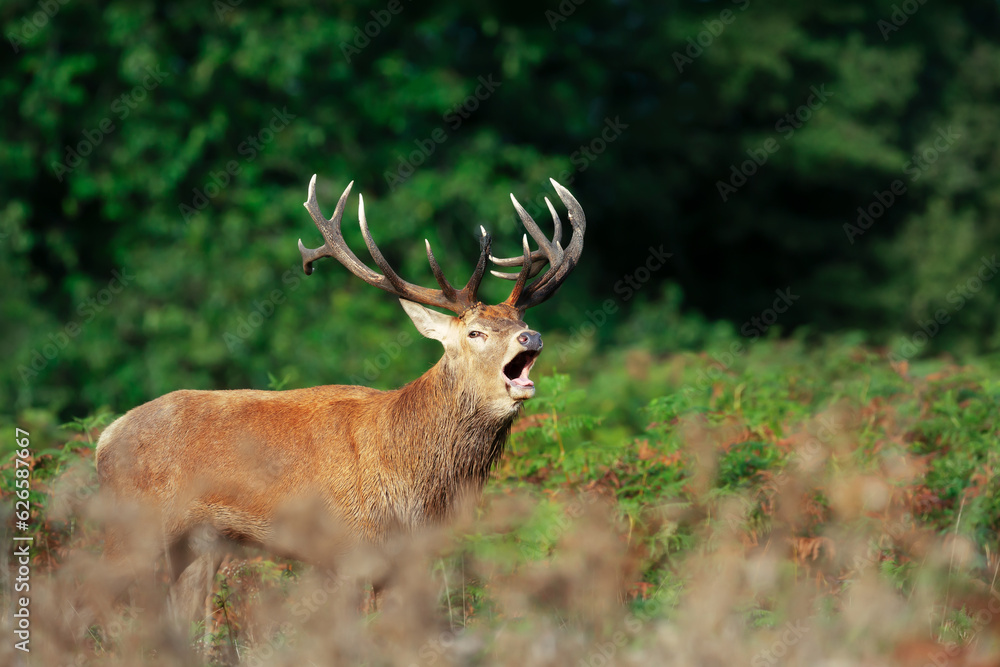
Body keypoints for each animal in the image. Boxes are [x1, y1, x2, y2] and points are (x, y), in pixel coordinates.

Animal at [94, 175, 586, 623]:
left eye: (521, 320)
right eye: (476, 332)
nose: (532, 336)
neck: (410, 479)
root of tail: (104, 439)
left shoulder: (406, 559)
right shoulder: (346, 548)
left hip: (196, 545)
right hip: (132, 527)